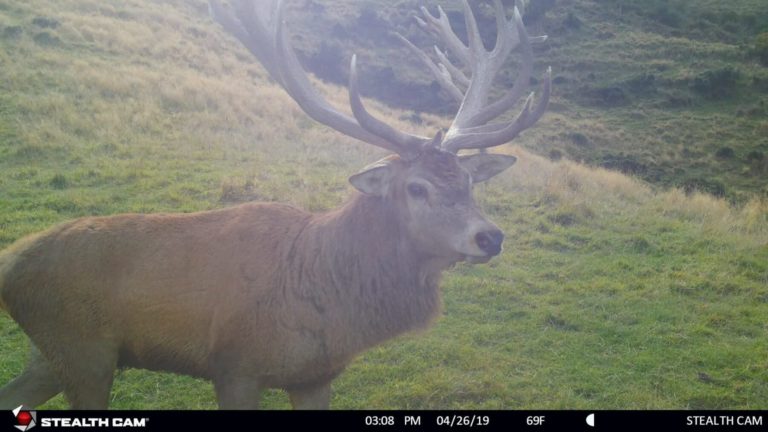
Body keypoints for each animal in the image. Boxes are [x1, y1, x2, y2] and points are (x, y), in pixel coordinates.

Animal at [0, 0, 549, 409]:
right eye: (416, 187)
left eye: (468, 180)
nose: (490, 236)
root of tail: (10, 262)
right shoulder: (234, 366)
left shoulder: (316, 376)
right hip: (83, 350)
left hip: (52, 353)